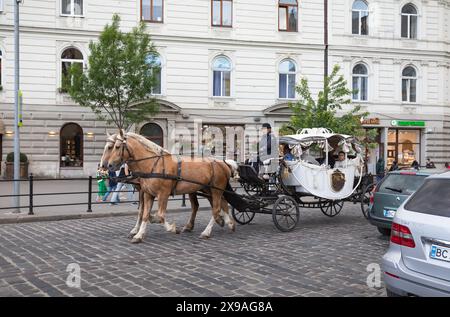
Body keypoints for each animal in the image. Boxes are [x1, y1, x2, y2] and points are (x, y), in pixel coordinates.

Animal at [100, 130, 237, 242]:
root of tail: (223, 163)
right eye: (110, 147)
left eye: (116, 147)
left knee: (216, 209)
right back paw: (228, 223)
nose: (106, 165)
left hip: (215, 190)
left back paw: (207, 231)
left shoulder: (163, 194)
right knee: (220, 204)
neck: (152, 164)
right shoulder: (147, 193)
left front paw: (171, 228)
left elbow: (159, 216)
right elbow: (144, 213)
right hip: (207, 190)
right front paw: (139, 234)